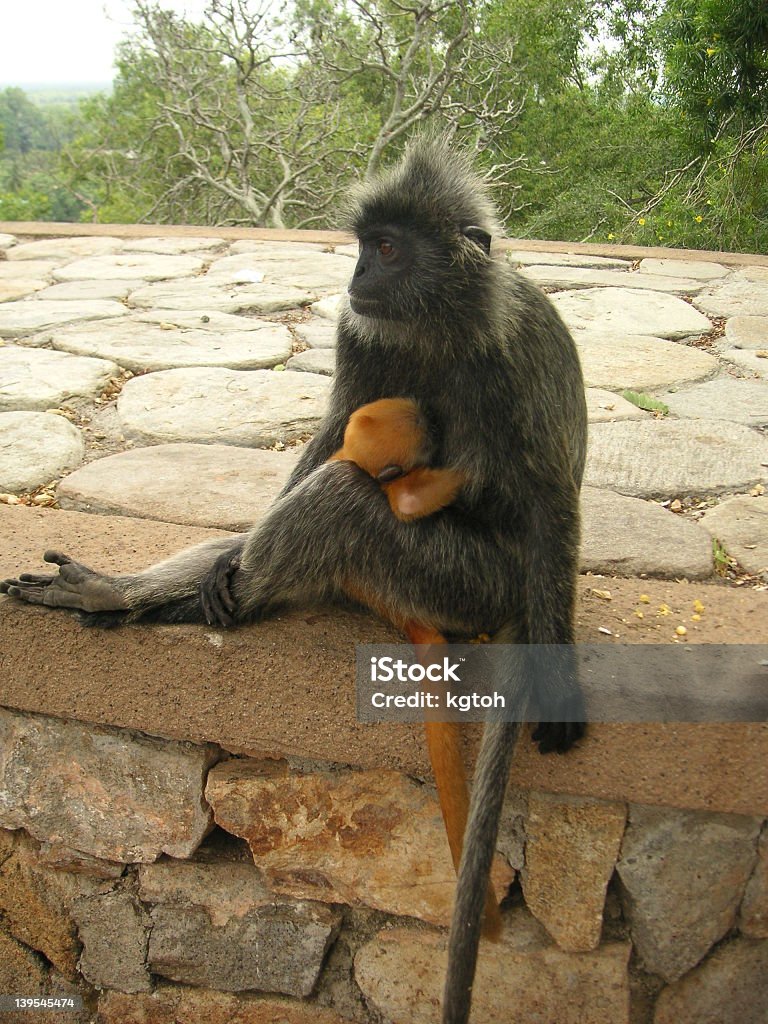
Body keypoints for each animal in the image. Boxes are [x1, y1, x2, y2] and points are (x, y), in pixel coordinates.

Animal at [331, 397, 505, 937]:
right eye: (426, 433)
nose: (432, 416)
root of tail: (401, 617)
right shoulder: (389, 485)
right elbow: (407, 506)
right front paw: (472, 468)